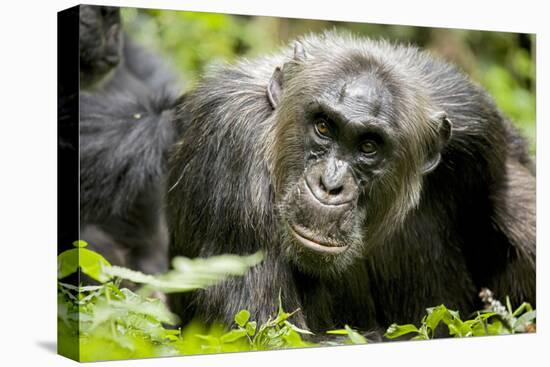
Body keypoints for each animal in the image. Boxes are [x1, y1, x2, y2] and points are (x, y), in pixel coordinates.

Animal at [167, 32, 536, 336]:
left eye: (369, 146)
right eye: (323, 127)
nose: (330, 184)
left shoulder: (479, 125)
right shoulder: (230, 146)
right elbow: (263, 328)